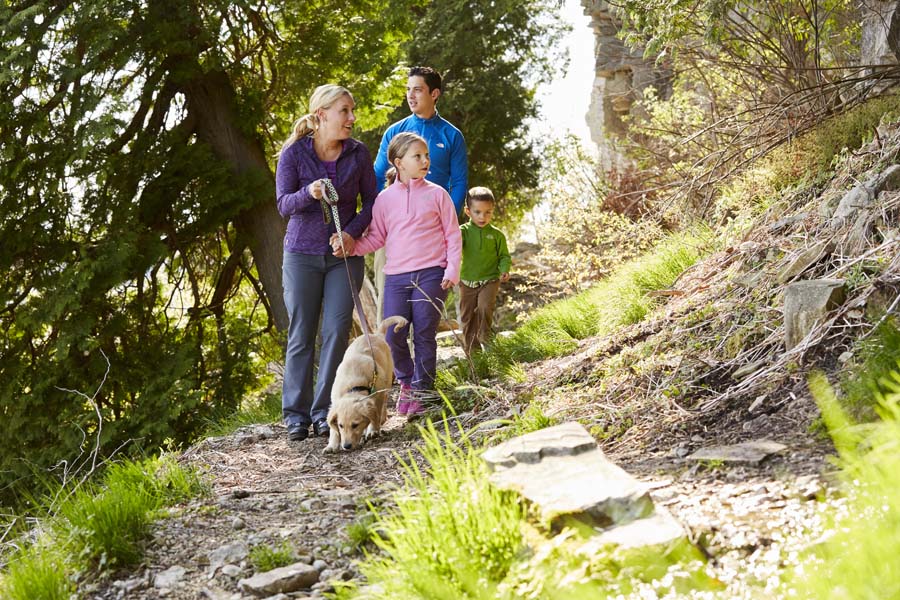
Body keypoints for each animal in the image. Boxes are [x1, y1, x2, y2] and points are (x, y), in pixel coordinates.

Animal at [324, 316, 408, 452]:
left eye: (355, 425)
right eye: (341, 425)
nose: (346, 446)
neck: (353, 386)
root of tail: (376, 335)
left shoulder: (377, 395)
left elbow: (375, 414)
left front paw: (373, 430)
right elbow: (333, 429)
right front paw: (331, 445)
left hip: (387, 380)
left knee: (384, 402)